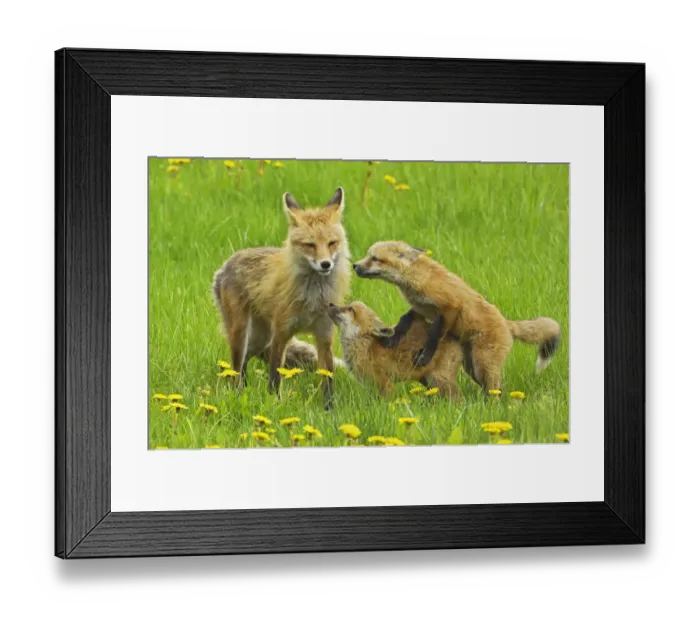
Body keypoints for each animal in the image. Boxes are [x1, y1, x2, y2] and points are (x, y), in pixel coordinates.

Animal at [212, 187, 351, 408]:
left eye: (332, 243)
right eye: (310, 245)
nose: (325, 264)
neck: (312, 297)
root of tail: (225, 264)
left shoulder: (324, 335)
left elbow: (327, 379)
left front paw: (329, 410)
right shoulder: (281, 333)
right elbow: (274, 375)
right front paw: (274, 402)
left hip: (261, 338)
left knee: (246, 361)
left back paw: (245, 389)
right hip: (242, 333)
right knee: (236, 368)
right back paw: (238, 393)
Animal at [328, 301, 464, 401]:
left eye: (350, 309)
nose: (330, 304)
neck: (365, 347)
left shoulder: (384, 383)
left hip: (439, 380)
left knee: (458, 398)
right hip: (429, 381)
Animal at [352, 241, 560, 395]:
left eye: (375, 258)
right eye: (368, 256)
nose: (354, 265)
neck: (418, 279)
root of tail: (507, 324)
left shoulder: (450, 307)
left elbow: (435, 336)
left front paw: (425, 355)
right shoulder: (421, 308)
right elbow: (405, 320)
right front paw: (393, 338)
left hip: (483, 364)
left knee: (496, 390)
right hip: (472, 368)